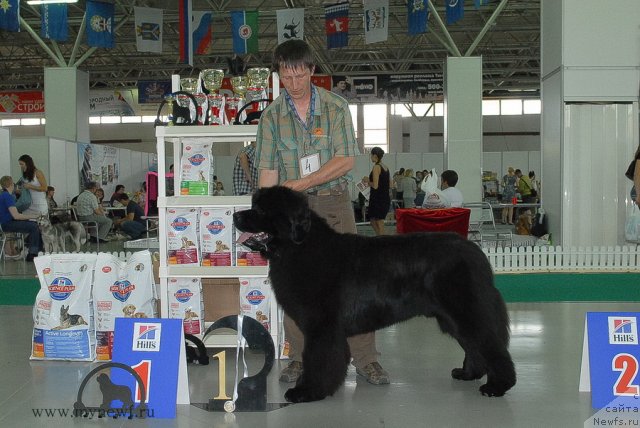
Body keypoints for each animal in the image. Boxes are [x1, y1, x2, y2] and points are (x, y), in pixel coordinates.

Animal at [232, 186, 516, 402]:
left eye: (261, 210)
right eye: (253, 205)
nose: (235, 215)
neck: (299, 247)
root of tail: (475, 251)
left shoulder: (322, 327)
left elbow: (317, 359)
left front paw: (307, 391)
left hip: (466, 310)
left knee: (490, 344)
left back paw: (497, 386)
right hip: (453, 317)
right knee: (474, 344)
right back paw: (468, 374)